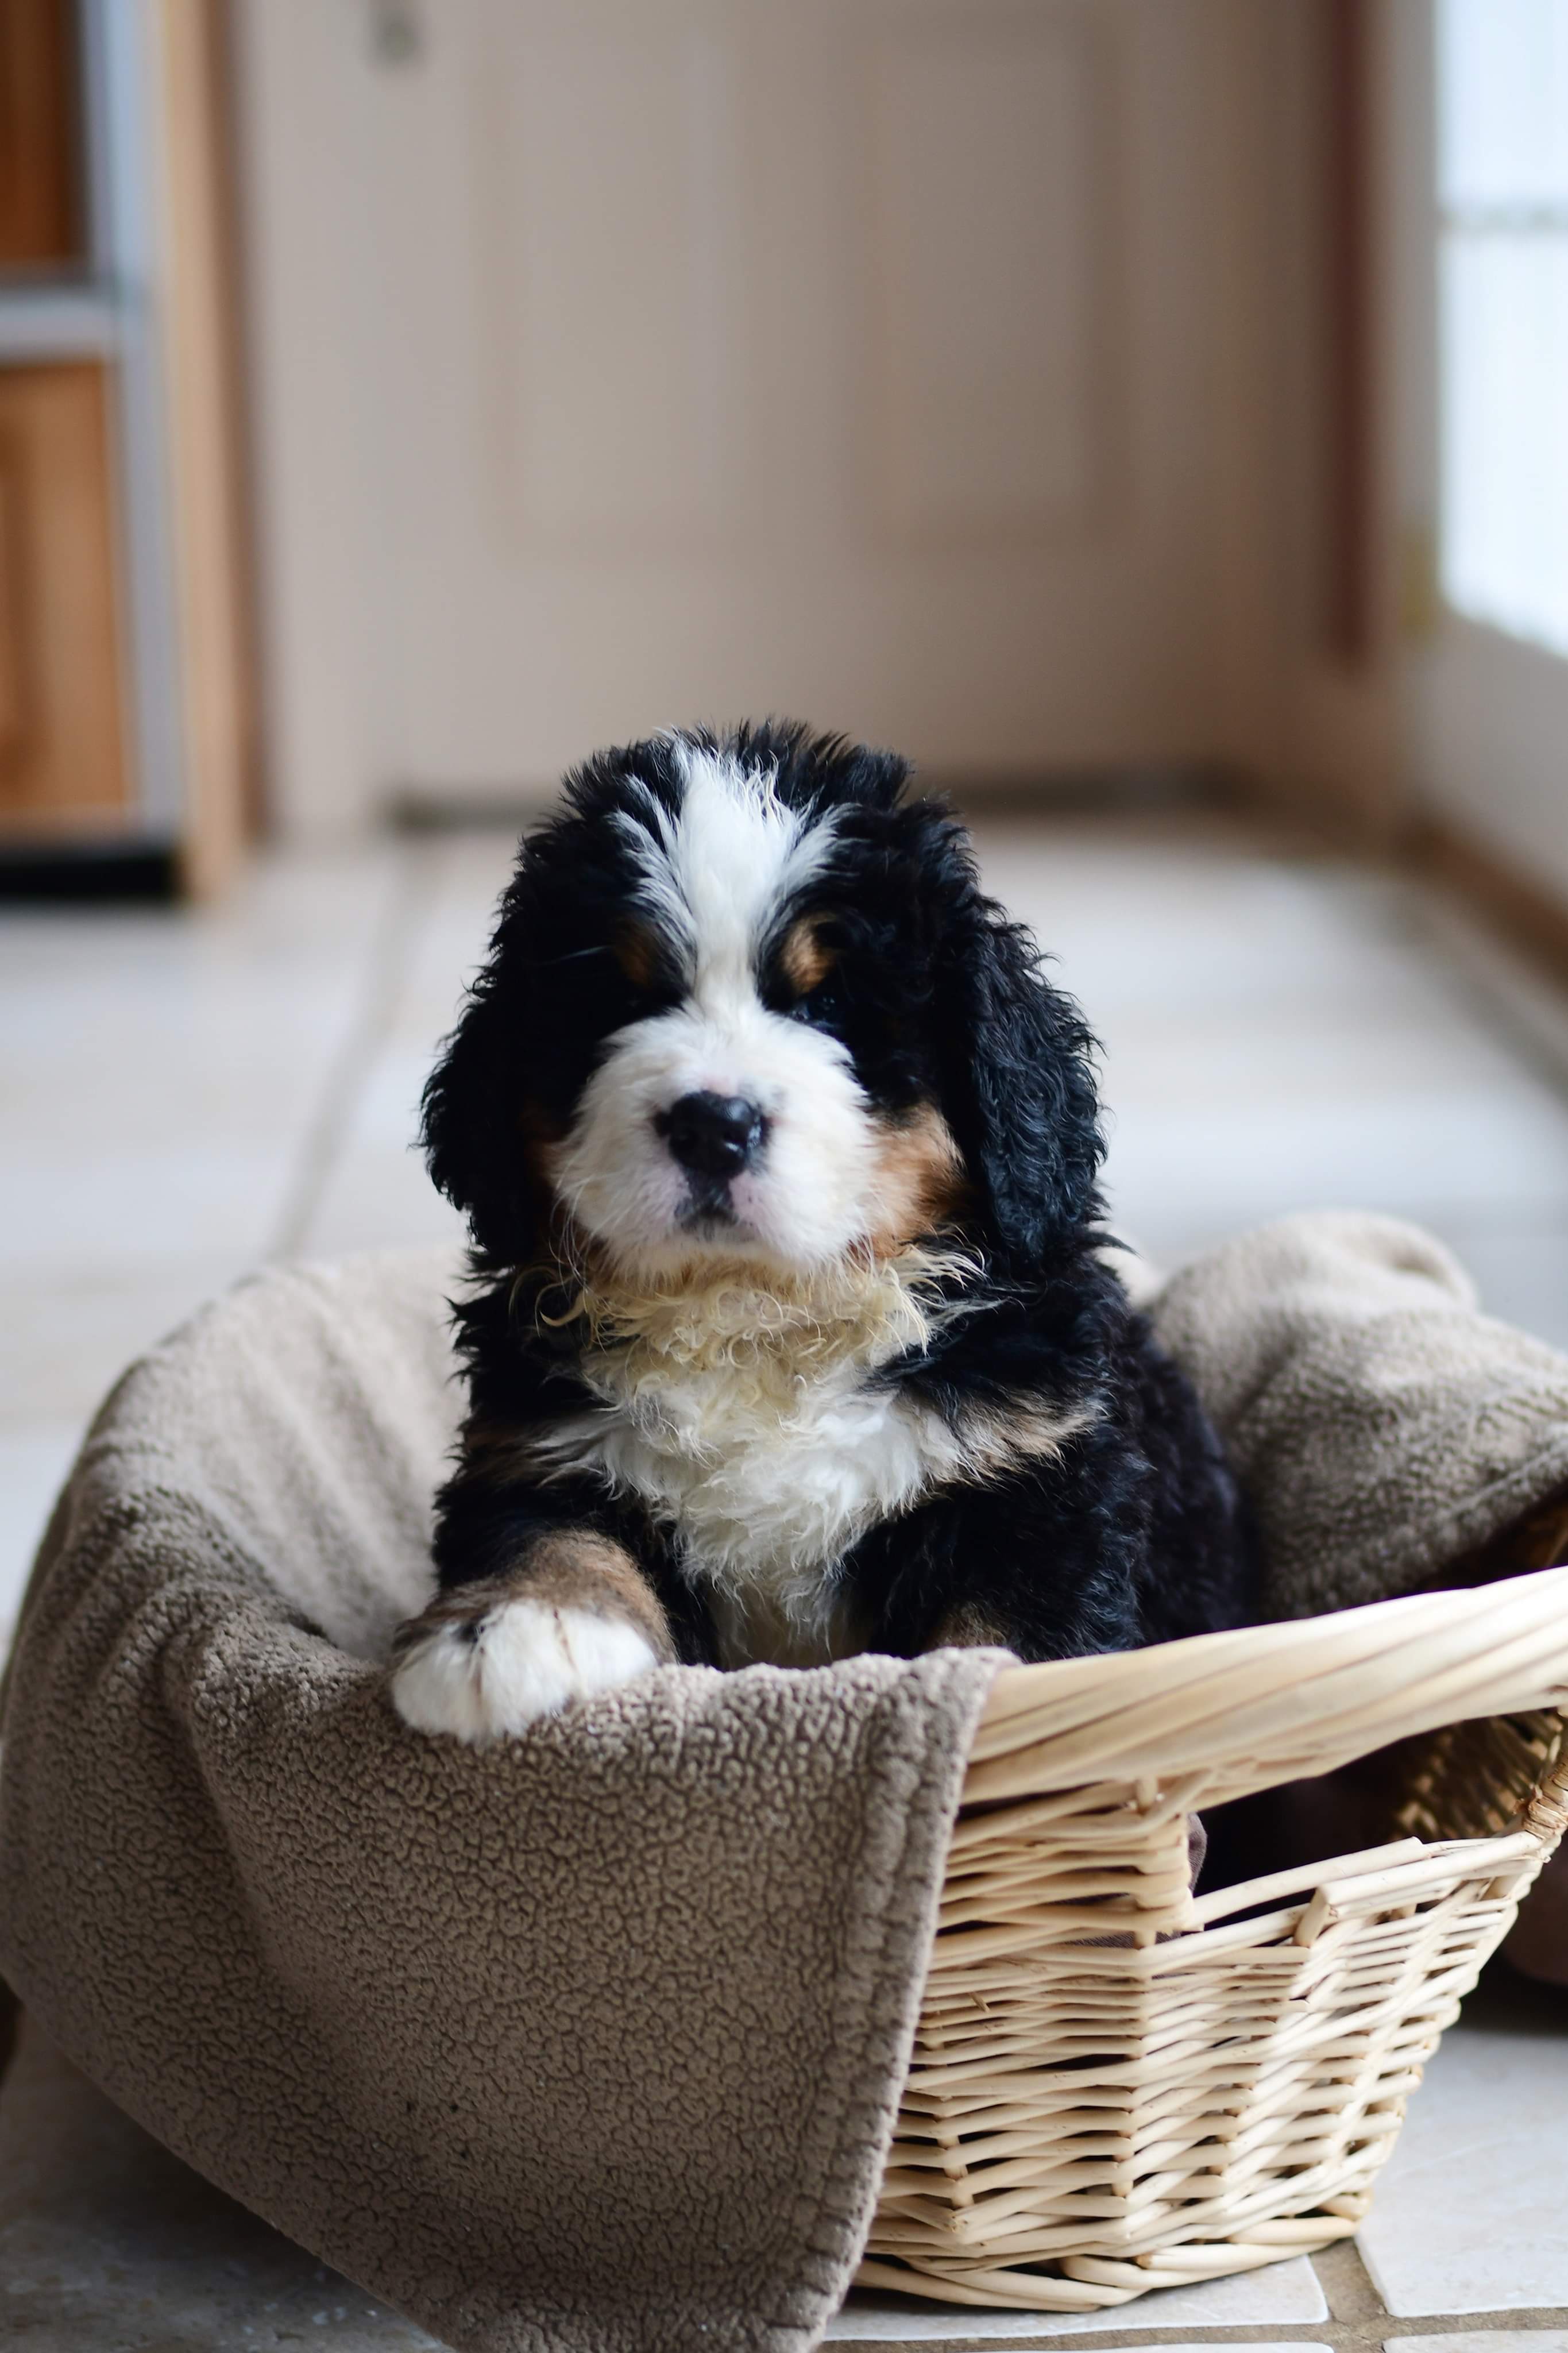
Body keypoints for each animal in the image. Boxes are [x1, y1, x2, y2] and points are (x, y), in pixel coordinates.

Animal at [395, 724, 1260, 1741]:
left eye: (828, 1006)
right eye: (617, 1004)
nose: (713, 1124)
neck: (760, 1318)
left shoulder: (1037, 1468)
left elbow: (1012, 1627)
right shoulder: (538, 1437)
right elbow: (546, 1529)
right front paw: (510, 1632)